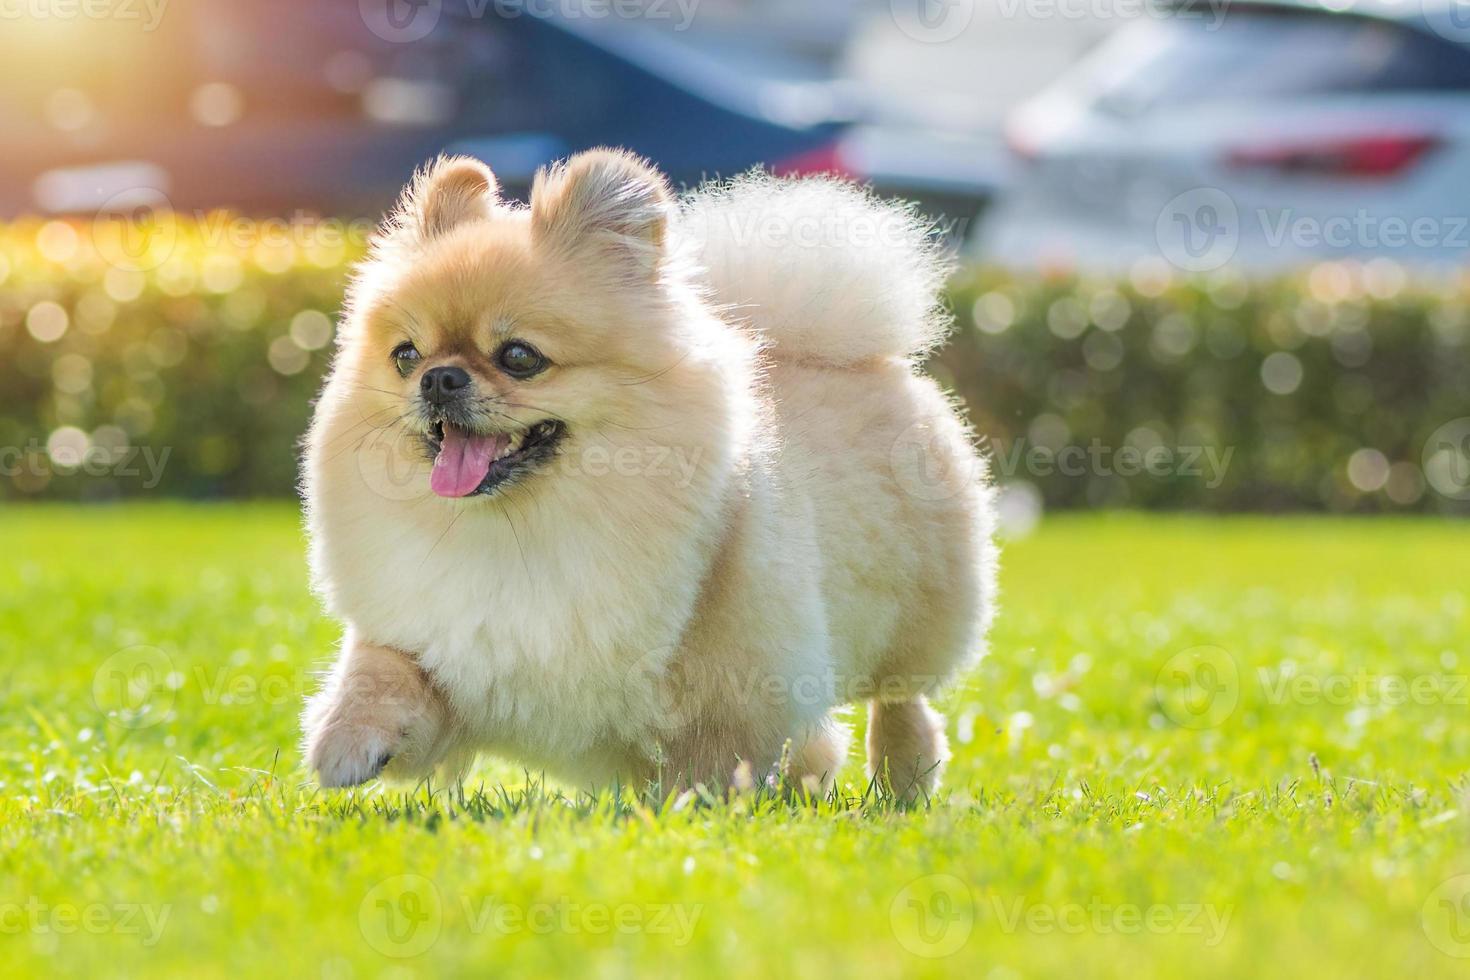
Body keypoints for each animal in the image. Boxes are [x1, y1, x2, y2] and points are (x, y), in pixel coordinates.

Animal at [307, 149, 999, 799]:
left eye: (519, 357)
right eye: (406, 355)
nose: (438, 378)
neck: (516, 531)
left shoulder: (735, 680)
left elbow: (719, 756)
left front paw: (694, 813)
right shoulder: (442, 640)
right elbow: (381, 668)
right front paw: (346, 741)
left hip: (915, 618)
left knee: (900, 698)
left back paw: (903, 781)